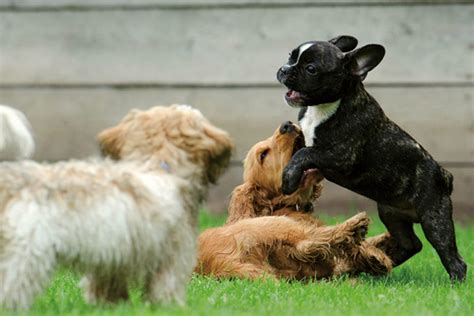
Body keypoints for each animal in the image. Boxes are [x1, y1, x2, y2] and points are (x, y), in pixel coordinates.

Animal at [0, 103, 233, 308]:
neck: (157, 165)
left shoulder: (111, 260)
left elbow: (107, 289)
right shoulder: (172, 256)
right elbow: (166, 288)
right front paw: (171, 308)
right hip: (26, 256)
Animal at [196, 122, 392, 280]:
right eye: (263, 155)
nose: (287, 125)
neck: (283, 205)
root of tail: (219, 261)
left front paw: (382, 240)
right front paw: (374, 252)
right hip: (274, 225)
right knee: (309, 242)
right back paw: (357, 228)